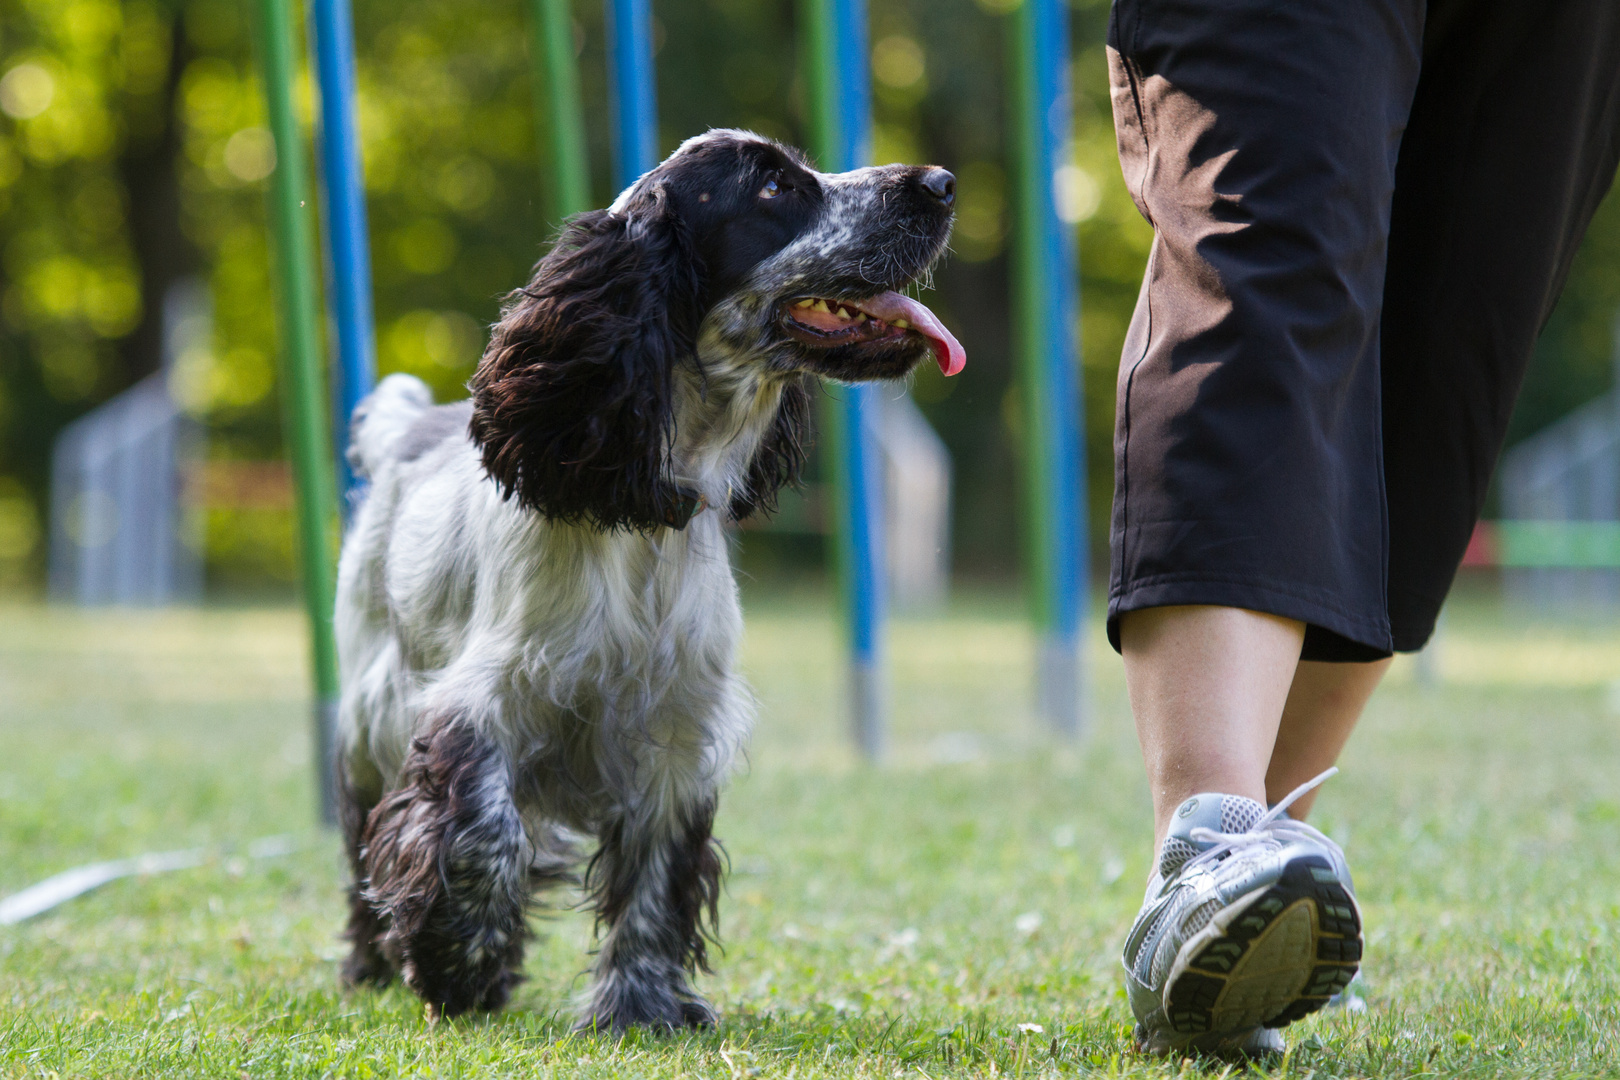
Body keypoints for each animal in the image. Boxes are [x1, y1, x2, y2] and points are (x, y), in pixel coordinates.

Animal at [330, 128, 959, 1029]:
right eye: (773, 186)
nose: (941, 183)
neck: (645, 527)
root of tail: (408, 430)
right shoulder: (481, 703)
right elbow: (480, 831)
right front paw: (460, 963)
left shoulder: (675, 727)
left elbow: (657, 871)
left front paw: (643, 1006)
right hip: (370, 708)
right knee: (364, 834)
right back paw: (371, 962)